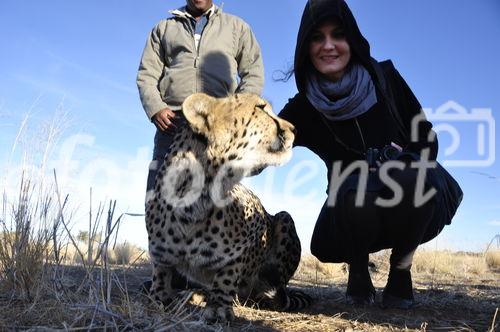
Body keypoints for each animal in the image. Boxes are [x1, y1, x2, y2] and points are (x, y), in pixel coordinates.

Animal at [145, 92, 308, 322]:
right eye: (260, 108)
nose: (294, 129)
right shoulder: (159, 252)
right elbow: (161, 272)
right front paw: (159, 296)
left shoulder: (252, 234)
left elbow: (228, 273)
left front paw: (219, 305)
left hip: (285, 218)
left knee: (271, 289)